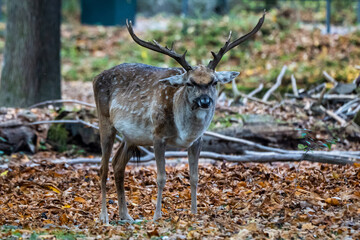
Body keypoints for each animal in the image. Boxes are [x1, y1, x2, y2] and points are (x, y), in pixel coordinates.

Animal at [93, 13, 264, 223]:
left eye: (214, 82)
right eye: (190, 83)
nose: (205, 101)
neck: (184, 130)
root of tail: (96, 77)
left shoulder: (198, 140)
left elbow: (194, 176)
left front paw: (194, 213)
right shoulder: (158, 135)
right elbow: (161, 177)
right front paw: (157, 216)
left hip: (131, 136)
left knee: (117, 165)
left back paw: (127, 216)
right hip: (104, 120)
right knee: (102, 168)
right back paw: (104, 217)